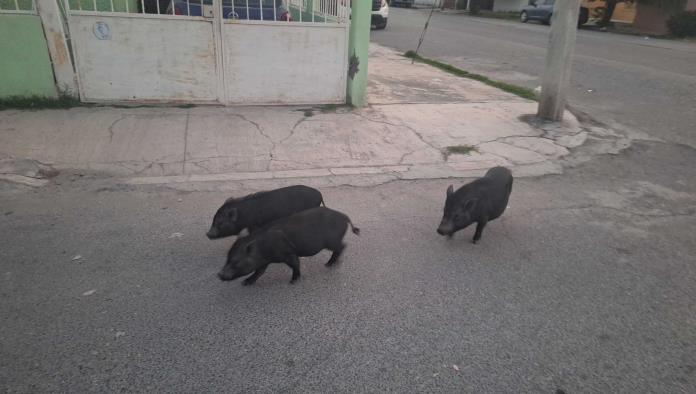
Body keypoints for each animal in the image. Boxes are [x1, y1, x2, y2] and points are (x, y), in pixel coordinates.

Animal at [216, 206, 358, 286]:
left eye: (236, 262)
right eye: (227, 259)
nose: (219, 274)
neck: (263, 248)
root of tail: (345, 217)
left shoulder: (288, 253)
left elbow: (295, 265)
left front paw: (293, 282)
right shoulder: (264, 261)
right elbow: (259, 272)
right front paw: (245, 283)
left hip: (331, 241)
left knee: (343, 246)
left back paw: (328, 265)